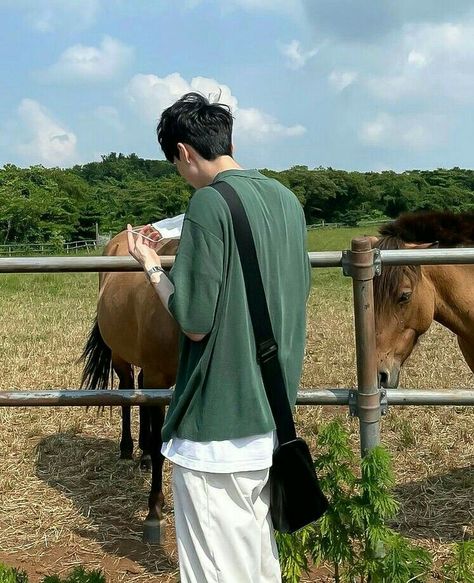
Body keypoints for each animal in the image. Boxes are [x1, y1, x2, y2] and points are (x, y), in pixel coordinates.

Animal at [80, 228, 180, 544]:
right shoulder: (158, 381)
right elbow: (160, 441)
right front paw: (154, 509)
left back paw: (143, 455)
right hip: (120, 356)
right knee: (127, 390)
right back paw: (127, 449)